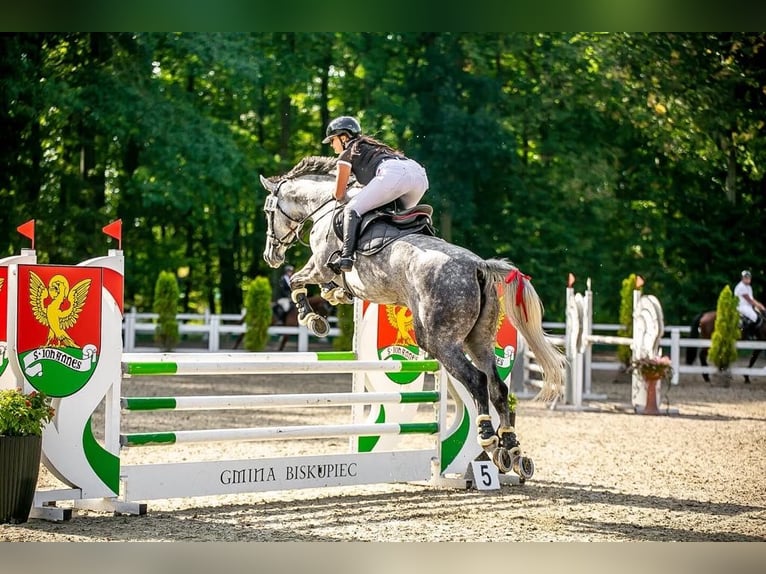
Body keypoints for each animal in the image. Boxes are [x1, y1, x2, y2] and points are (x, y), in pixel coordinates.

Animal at [260, 155, 568, 474]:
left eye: (268, 213)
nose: (271, 256)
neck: (326, 205)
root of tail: (479, 266)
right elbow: (323, 288)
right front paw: (331, 299)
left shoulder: (319, 267)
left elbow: (297, 281)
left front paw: (313, 319)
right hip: (478, 340)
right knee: (498, 386)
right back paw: (511, 450)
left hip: (439, 341)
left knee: (476, 381)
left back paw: (489, 439)